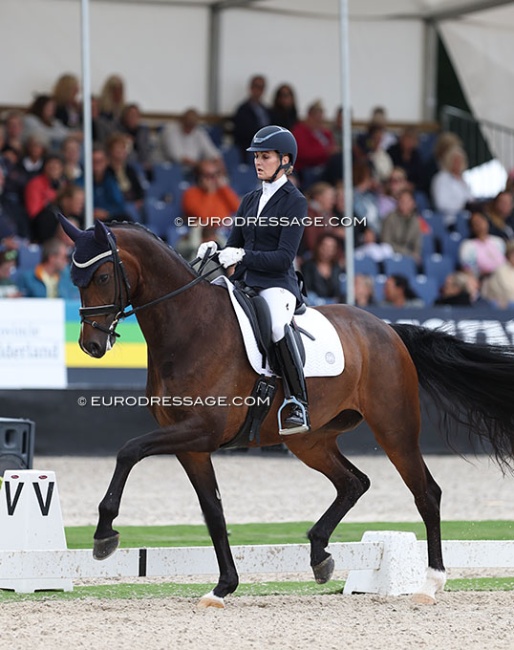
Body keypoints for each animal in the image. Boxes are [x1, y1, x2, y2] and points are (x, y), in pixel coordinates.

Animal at [61, 215, 514, 604]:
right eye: (74, 279)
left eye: (103, 276)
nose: (91, 345)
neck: (188, 327)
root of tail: (386, 329)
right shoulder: (192, 446)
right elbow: (213, 512)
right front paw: (223, 587)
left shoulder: (201, 430)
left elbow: (129, 451)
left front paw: (103, 535)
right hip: (310, 441)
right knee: (354, 482)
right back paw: (319, 554)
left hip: (395, 427)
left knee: (426, 493)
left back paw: (430, 583)